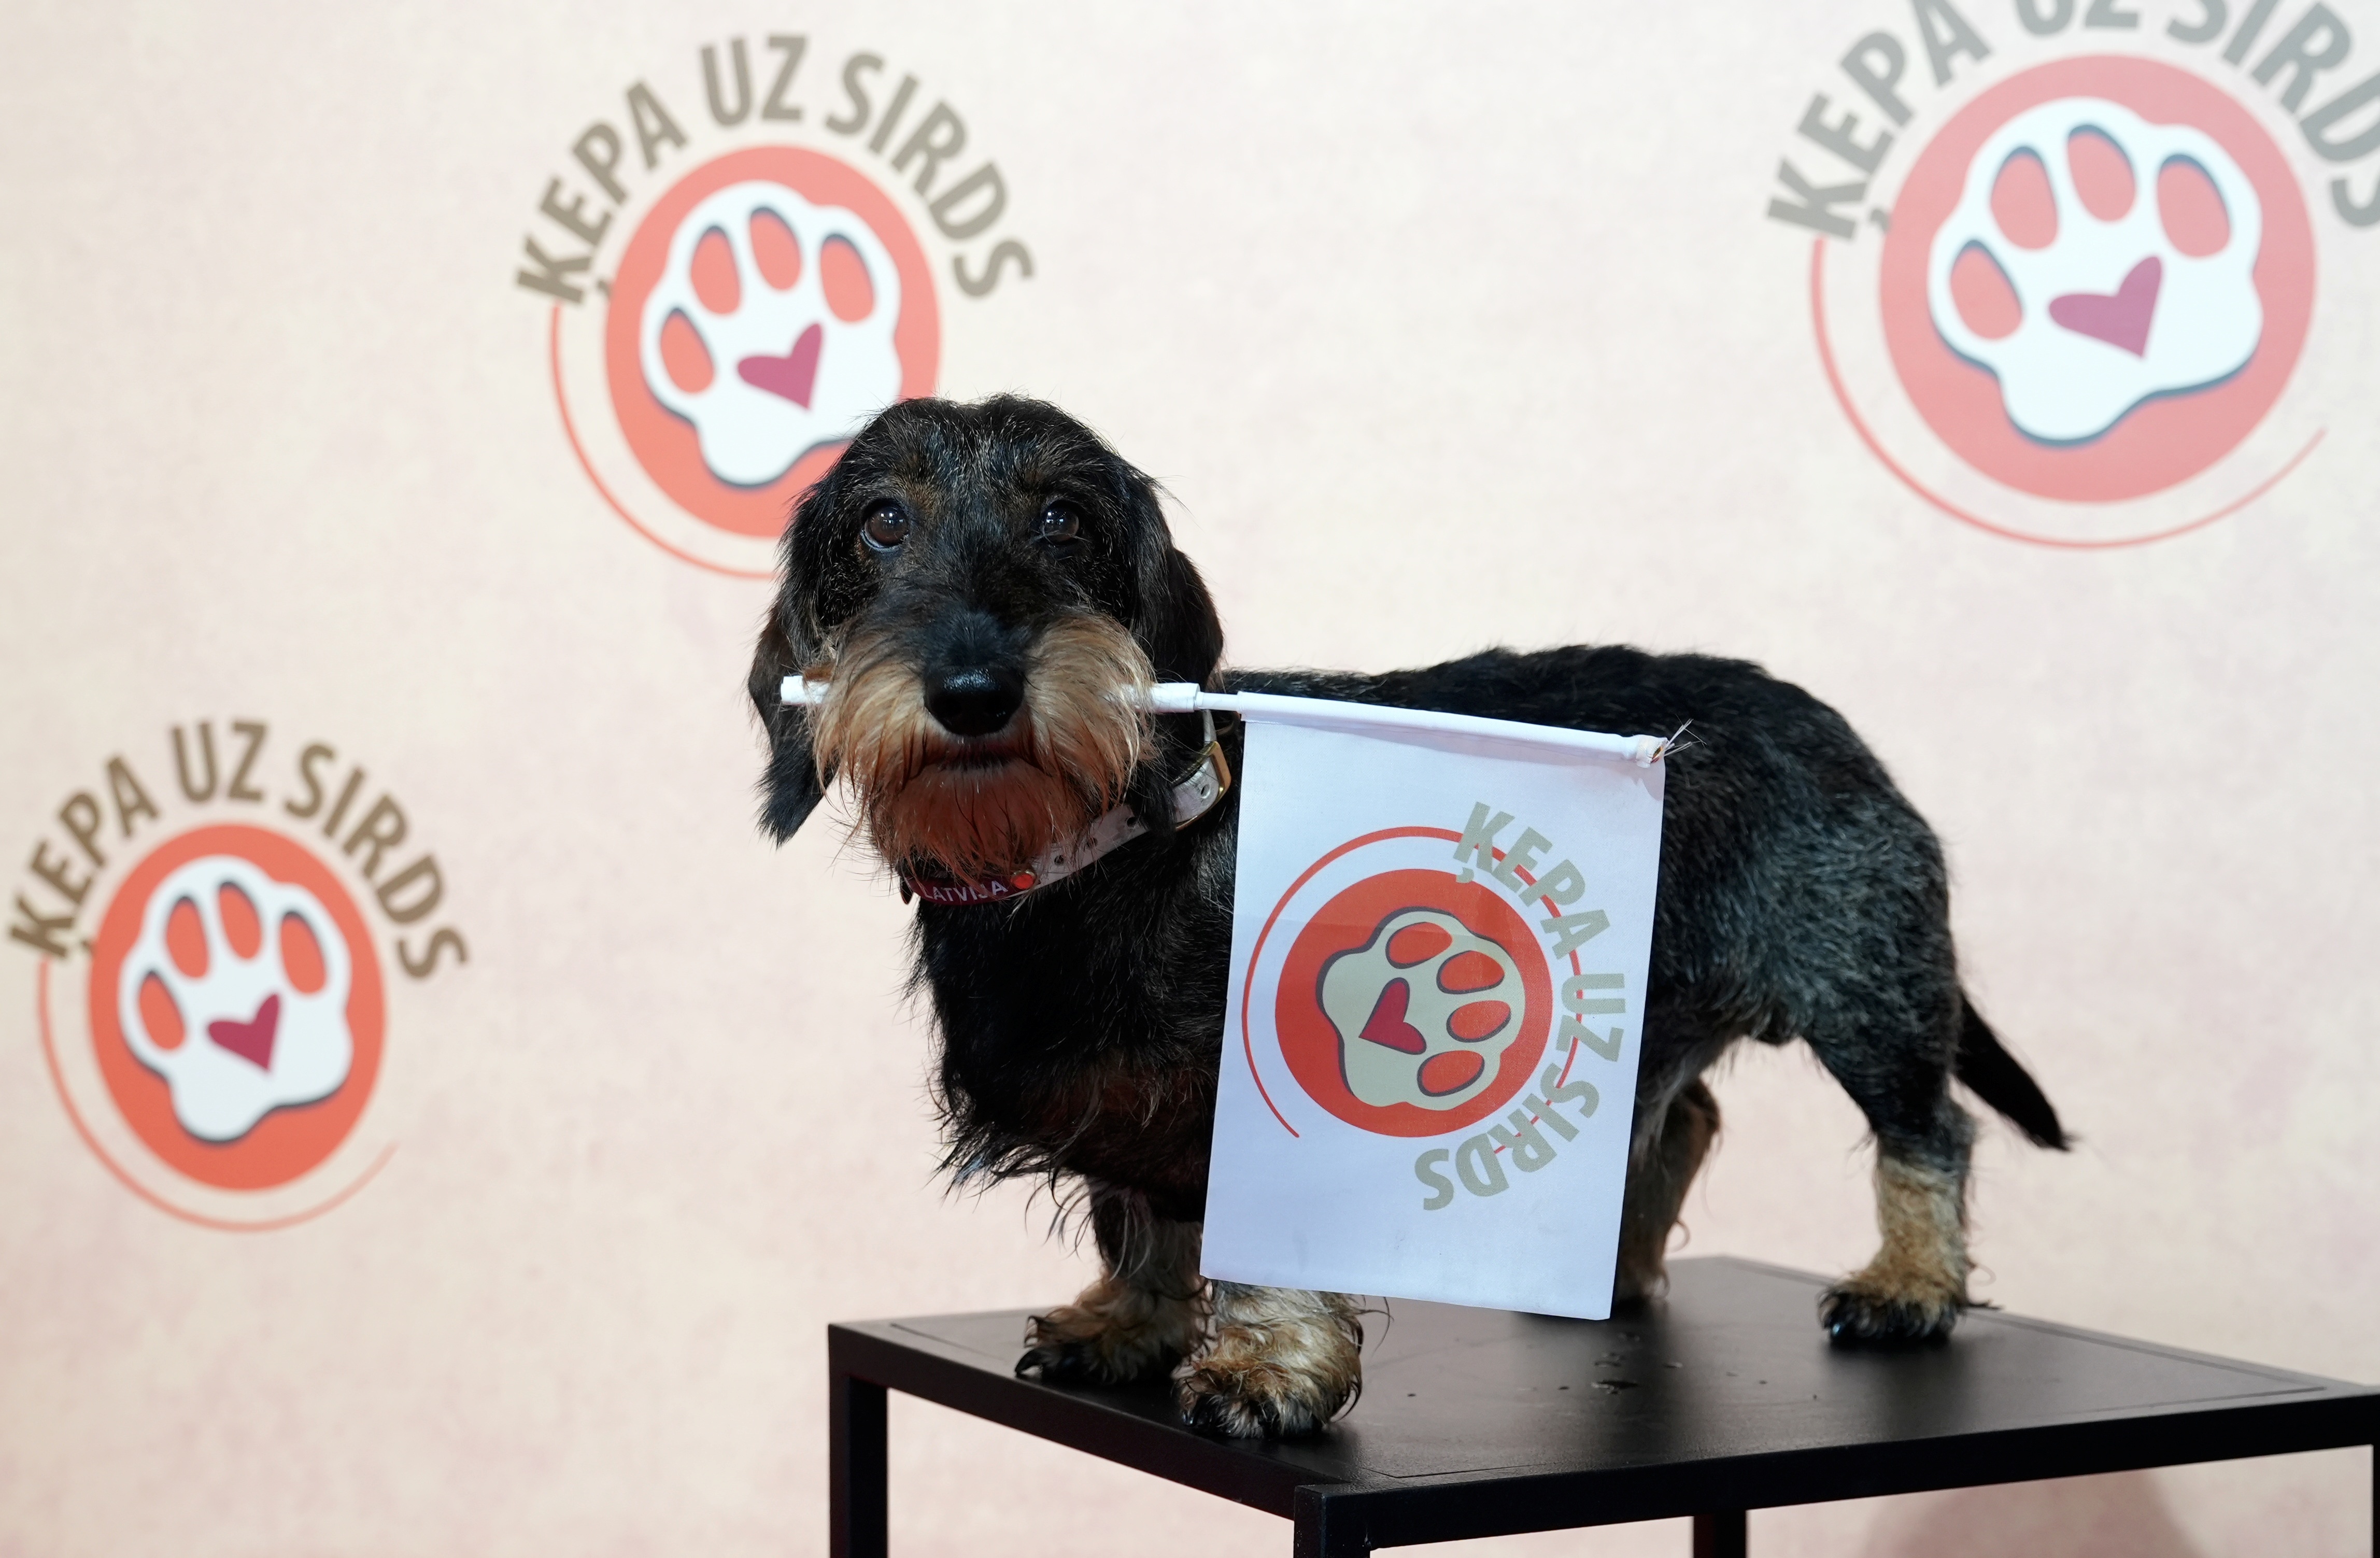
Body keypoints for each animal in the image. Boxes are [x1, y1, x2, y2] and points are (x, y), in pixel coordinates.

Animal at [749, 394, 2067, 1438]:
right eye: (881, 523)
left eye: (1064, 519)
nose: (973, 689)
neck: (1089, 858)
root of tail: (1827, 719)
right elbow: (1142, 1211)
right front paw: (1128, 1318)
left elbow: (1254, 1229)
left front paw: (1269, 1368)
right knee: (1684, 1115)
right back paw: (1611, 1269)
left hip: (1865, 984)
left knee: (1927, 1131)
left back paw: (1909, 1285)